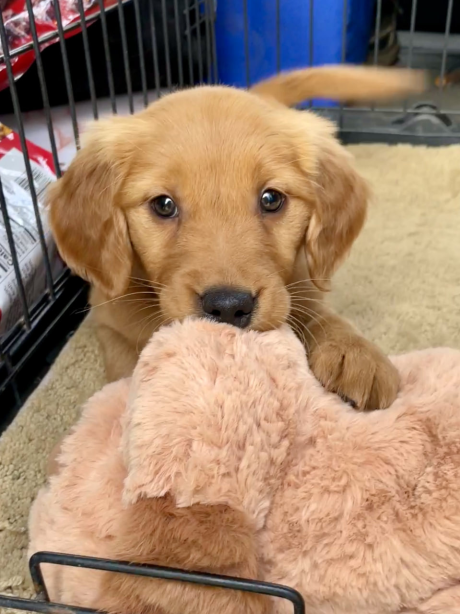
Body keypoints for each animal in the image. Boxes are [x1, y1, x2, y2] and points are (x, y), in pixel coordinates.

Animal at [47, 65, 424, 412]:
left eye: (271, 199)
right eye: (163, 205)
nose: (228, 306)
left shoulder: (301, 277)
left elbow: (317, 310)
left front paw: (354, 352)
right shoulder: (109, 317)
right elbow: (127, 363)